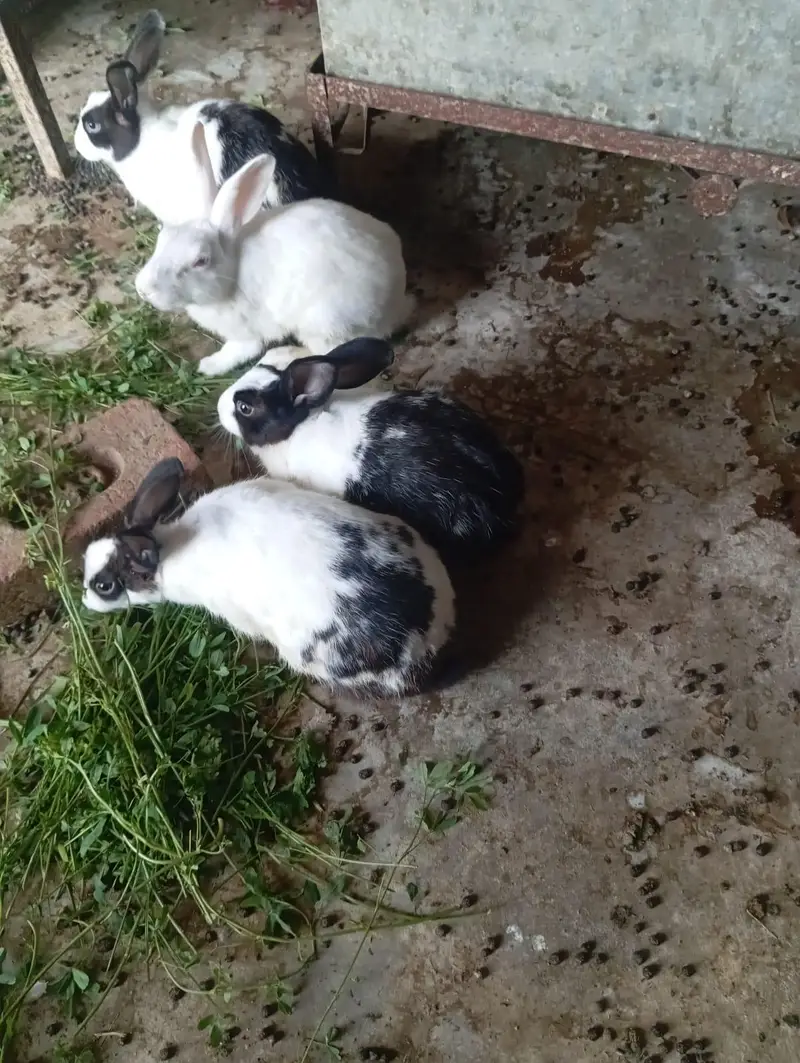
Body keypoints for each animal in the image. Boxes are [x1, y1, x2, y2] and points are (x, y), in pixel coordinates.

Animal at [134, 123, 412, 376]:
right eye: (162, 236)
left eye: (200, 260)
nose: (143, 290)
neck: (231, 275)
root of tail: (396, 301)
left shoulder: (245, 332)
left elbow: (241, 349)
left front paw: (209, 366)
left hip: (323, 322)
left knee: (328, 353)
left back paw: (283, 355)